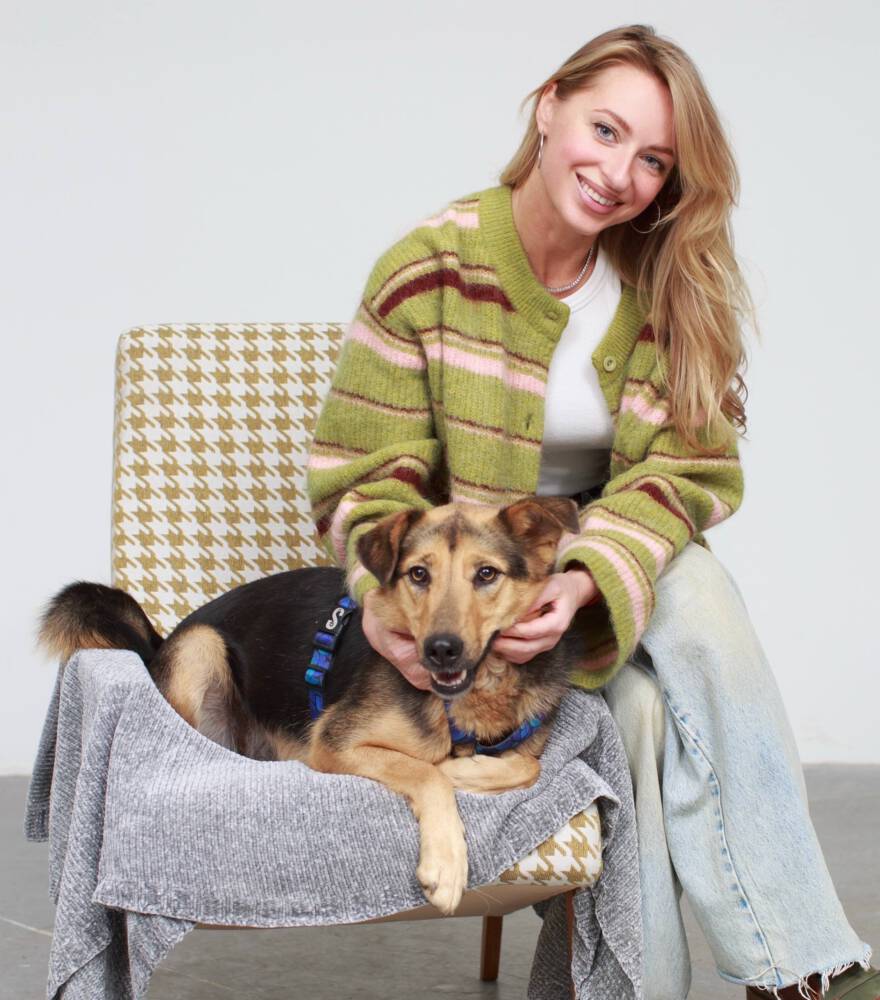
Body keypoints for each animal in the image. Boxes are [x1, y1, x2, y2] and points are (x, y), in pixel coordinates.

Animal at [38, 496, 590, 914]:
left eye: (486, 574)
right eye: (418, 575)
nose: (441, 649)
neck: (469, 698)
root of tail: (160, 643)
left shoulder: (523, 742)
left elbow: (527, 766)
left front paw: (468, 769)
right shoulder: (334, 742)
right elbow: (426, 772)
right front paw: (446, 858)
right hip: (201, 647)